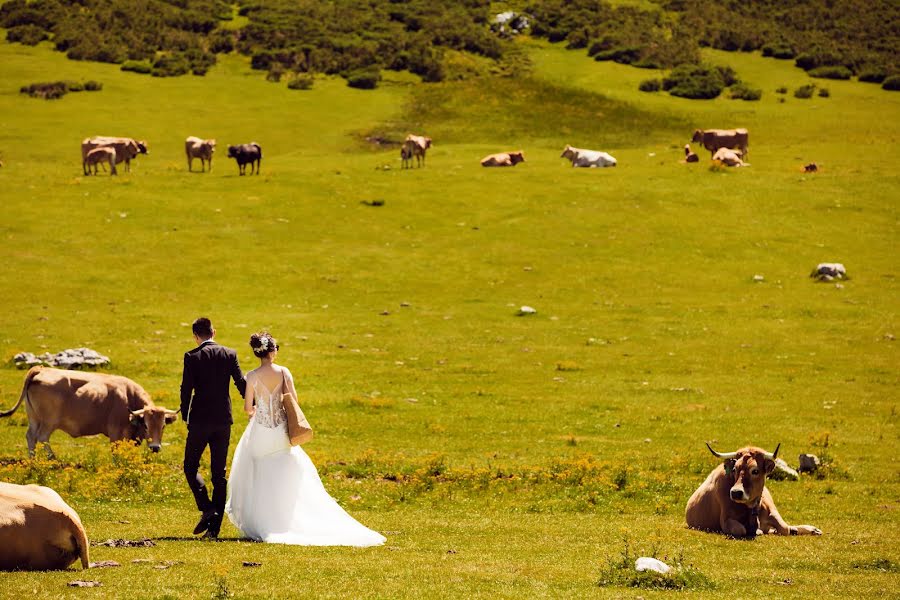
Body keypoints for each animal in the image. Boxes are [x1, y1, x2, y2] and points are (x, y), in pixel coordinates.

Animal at [0, 364, 179, 458]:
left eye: (163, 426)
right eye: (146, 425)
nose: (155, 447)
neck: (129, 396)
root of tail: (41, 369)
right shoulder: (115, 432)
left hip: (34, 419)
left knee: (31, 436)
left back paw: (33, 460)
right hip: (49, 422)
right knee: (42, 437)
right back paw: (52, 459)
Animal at [684, 440, 820, 540]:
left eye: (755, 471)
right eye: (734, 469)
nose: (736, 493)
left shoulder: (771, 511)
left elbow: (784, 528)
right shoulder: (726, 519)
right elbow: (740, 529)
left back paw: (811, 529)